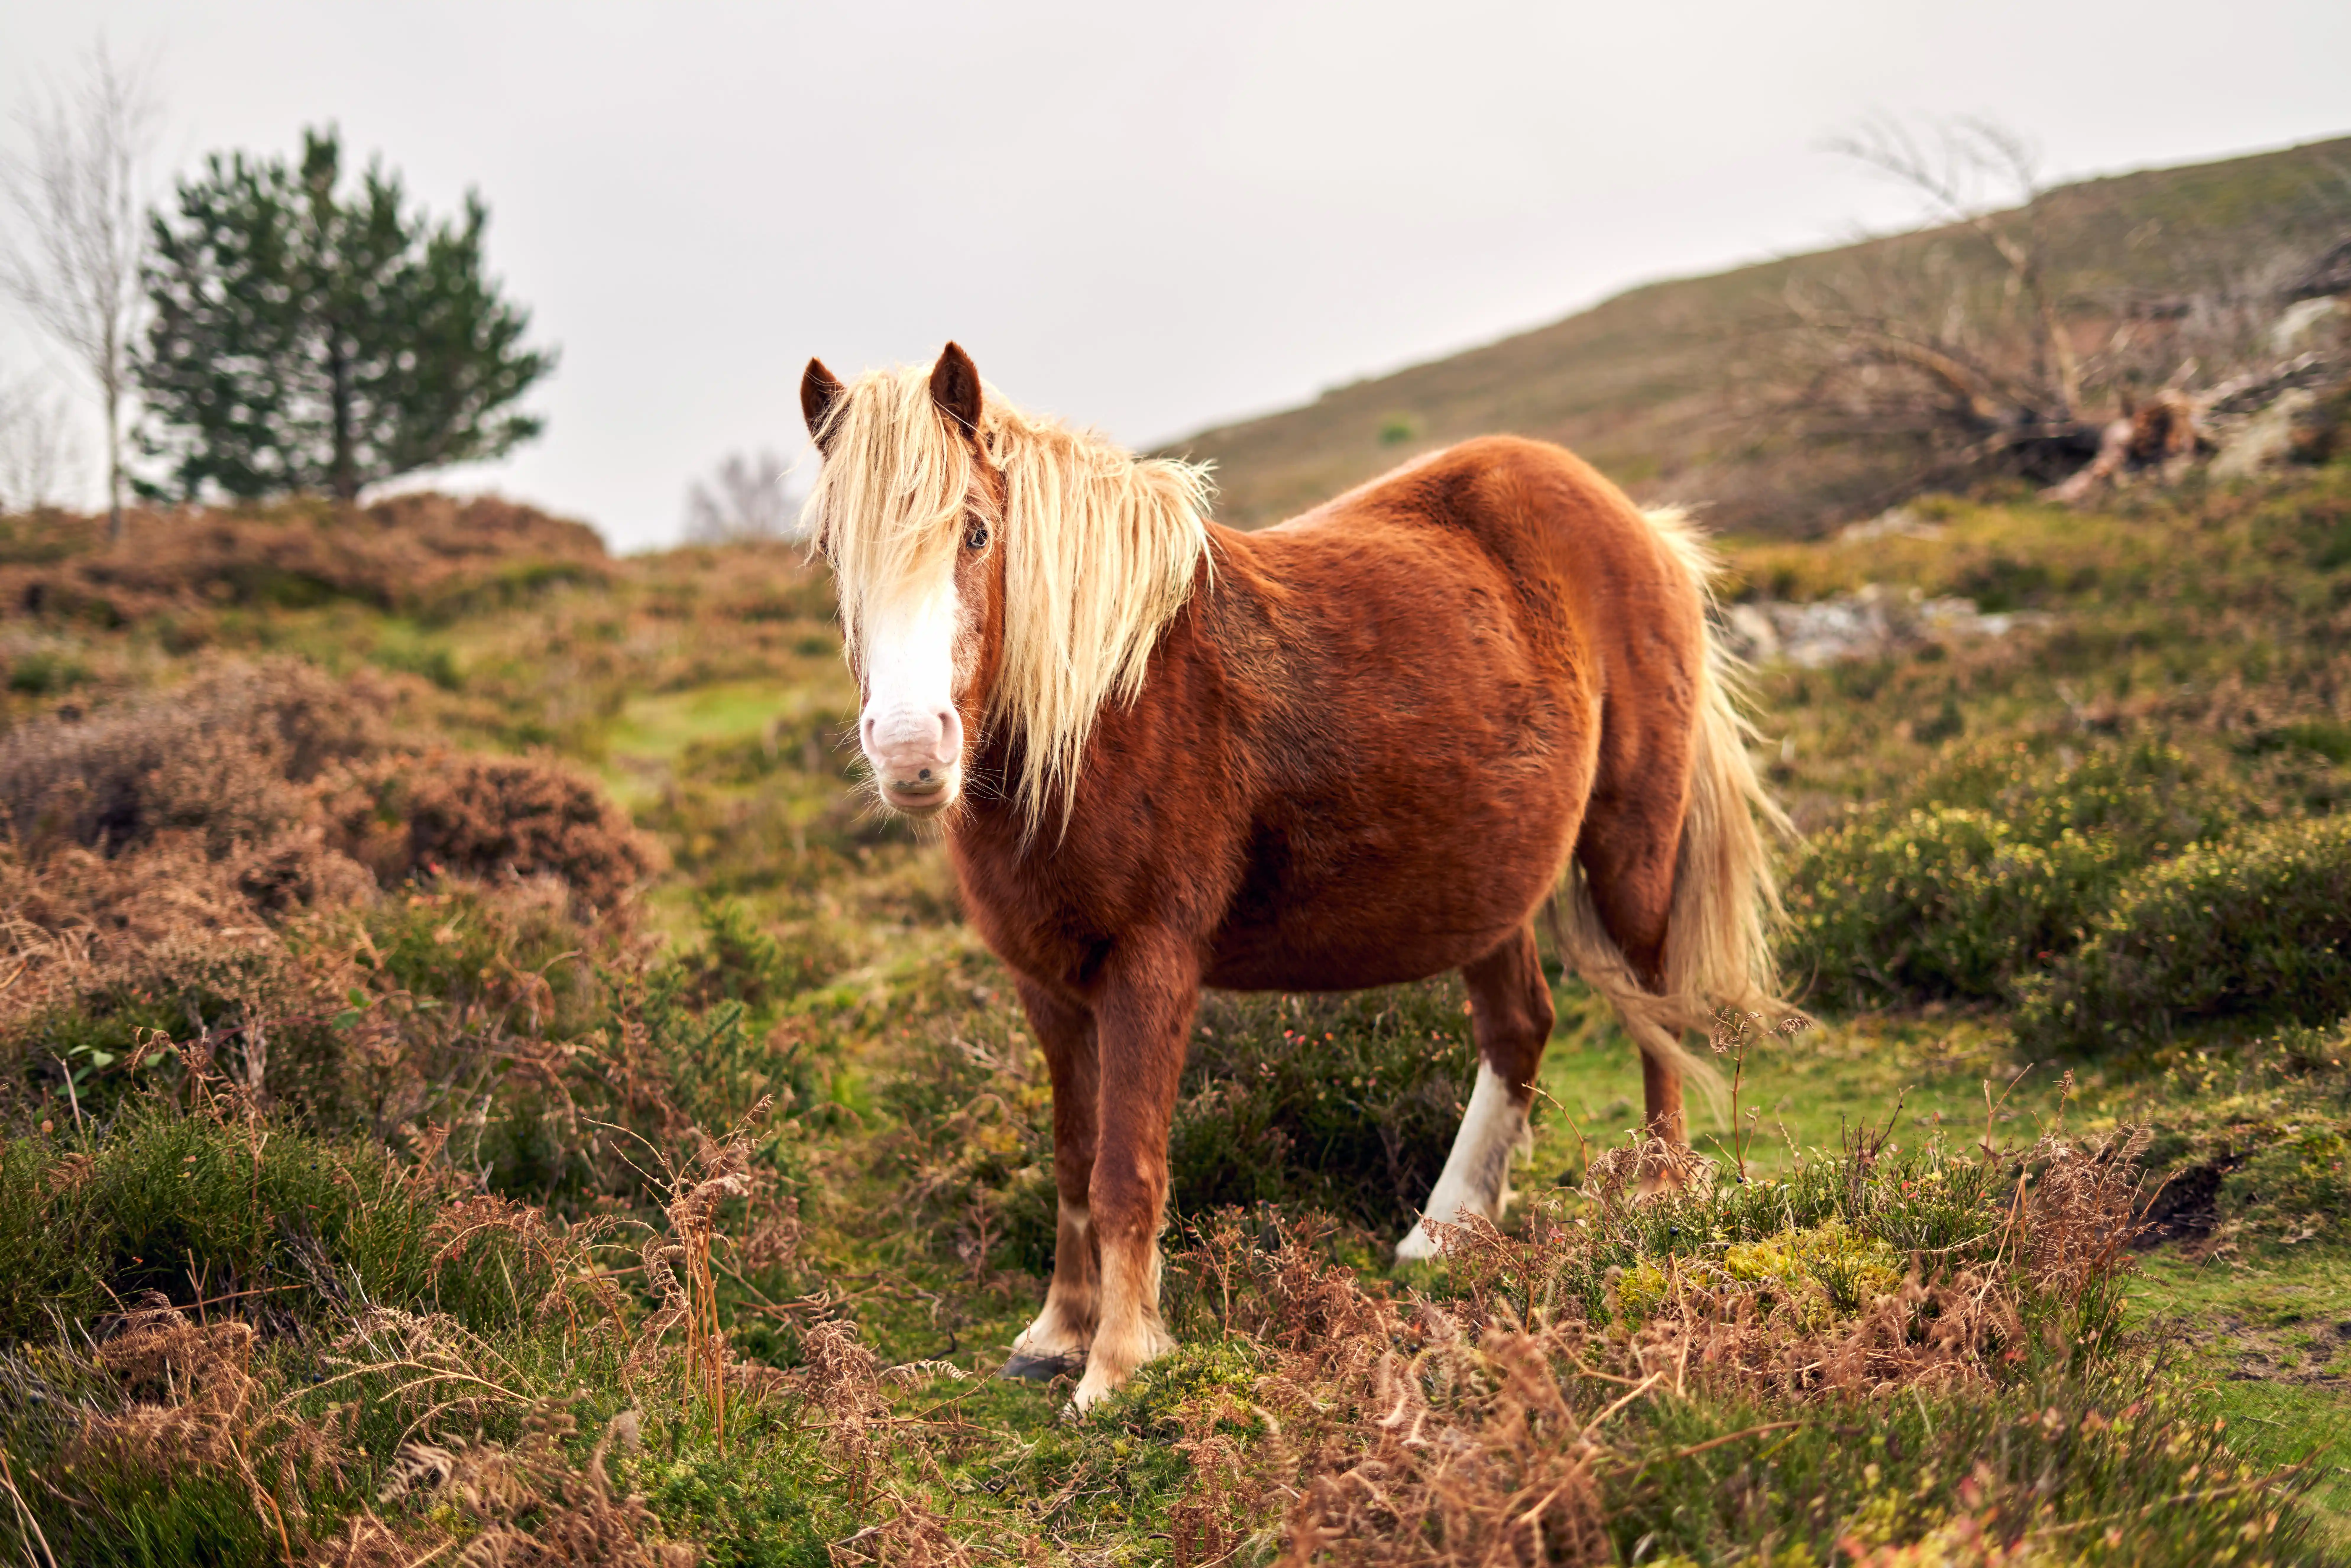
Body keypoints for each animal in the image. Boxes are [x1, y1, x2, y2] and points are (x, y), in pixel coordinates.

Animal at [798, 342, 1785, 1412]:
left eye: (975, 531)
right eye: (832, 555)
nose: (910, 749)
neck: (1104, 711)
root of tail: (1641, 528)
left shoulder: (1151, 968)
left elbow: (1124, 1169)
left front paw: (1117, 1366)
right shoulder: (1046, 982)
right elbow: (1070, 1157)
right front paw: (1056, 1333)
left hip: (1631, 848)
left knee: (1657, 1011)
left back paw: (1656, 1195)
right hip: (1484, 886)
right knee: (1519, 1027)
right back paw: (1444, 1232)